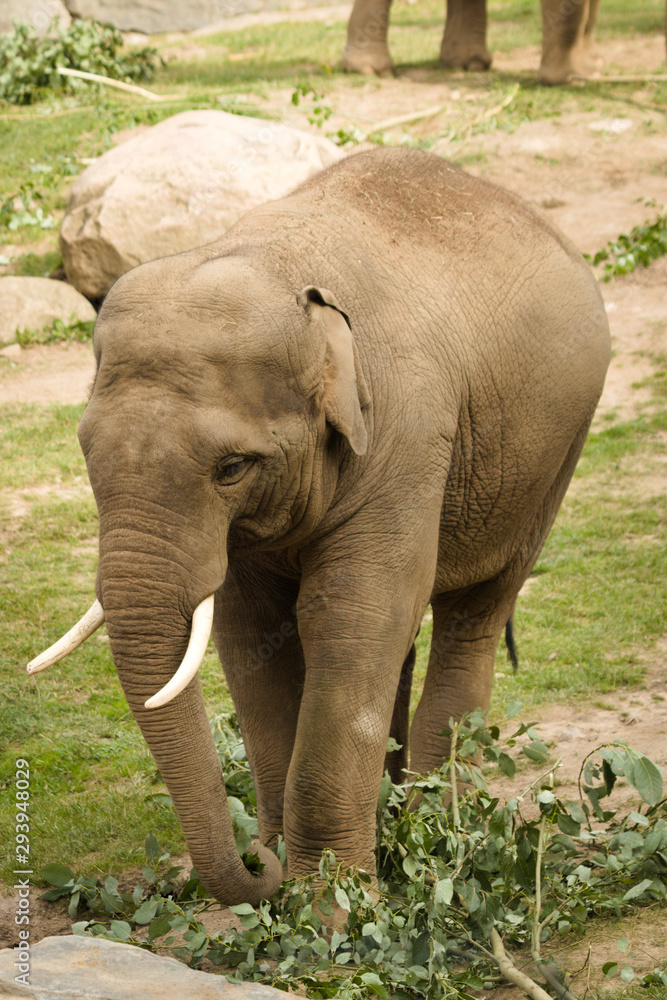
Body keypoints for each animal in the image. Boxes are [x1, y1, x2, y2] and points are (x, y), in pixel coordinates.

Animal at [28, 147, 611, 908]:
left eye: (231, 467)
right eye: (85, 452)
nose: (257, 859)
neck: (274, 266)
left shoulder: (406, 430)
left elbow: (350, 613)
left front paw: (330, 907)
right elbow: (255, 629)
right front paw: (295, 887)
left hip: (552, 453)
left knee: (473, 613)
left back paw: (437, 832)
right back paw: (396, 829)